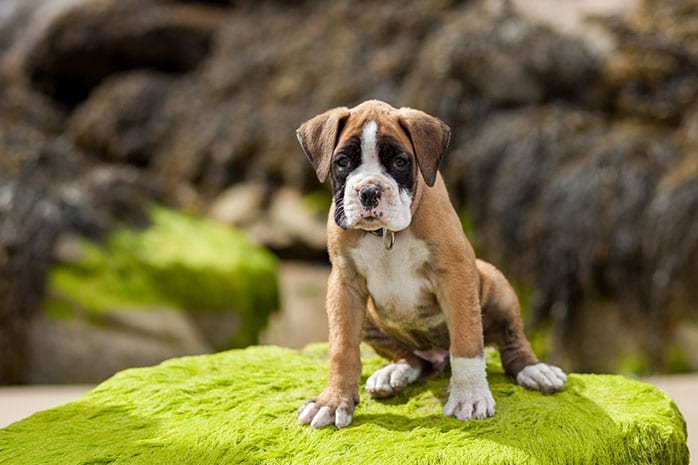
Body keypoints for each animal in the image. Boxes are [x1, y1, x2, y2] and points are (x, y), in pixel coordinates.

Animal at [294, 100, 564, 428]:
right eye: (343, 162)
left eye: (400, 162)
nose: (369, 191)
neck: (385, 235)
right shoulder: (344, 285)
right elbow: (342, 347)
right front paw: (332, 402)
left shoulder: (455, 276)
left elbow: (466, 342)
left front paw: (470, 397)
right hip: (371, 316)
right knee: (413, 358)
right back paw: (395, 372)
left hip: (496, 284)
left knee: (512, 342)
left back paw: (534, 369)